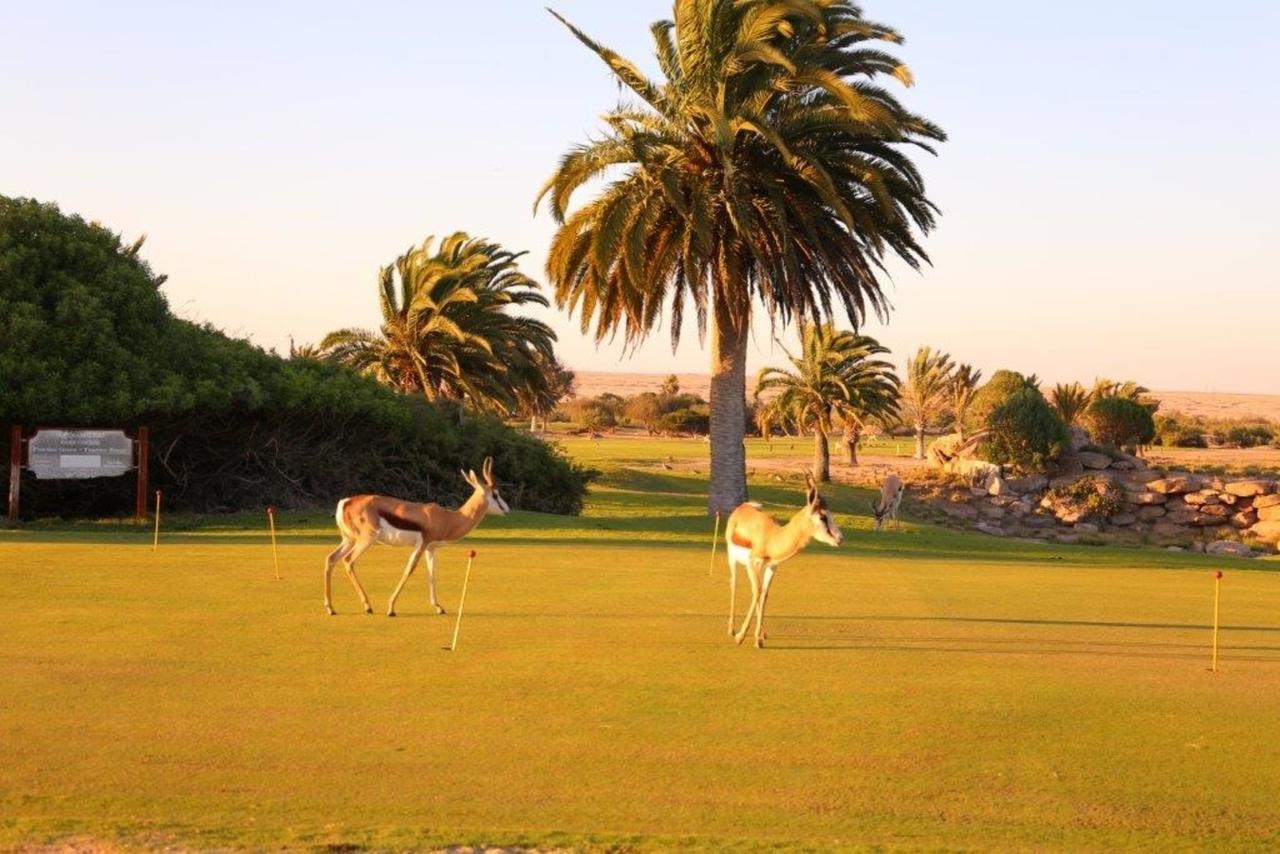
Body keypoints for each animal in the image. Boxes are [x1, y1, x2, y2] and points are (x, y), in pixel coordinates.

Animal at [325, 458, 509, 617]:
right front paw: (391, 608)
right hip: (365, 540)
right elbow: (409, 569)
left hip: (349, 540)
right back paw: (367, 606)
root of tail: (346, 502)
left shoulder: (431, 548)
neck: (448, 518)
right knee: (348, 561)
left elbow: (432, 573)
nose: (507, 510)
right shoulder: (422, 544)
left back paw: (331, 608)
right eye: (495, 494)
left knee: (331, 558)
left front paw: (439, 607)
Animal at [727, 473, 844, 647]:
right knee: (734, 584)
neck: (771, 537)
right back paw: (731, 630)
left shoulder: (772, 566)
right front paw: (740, 637)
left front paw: (758, 639)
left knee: (759, 591)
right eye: (823, 517)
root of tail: (742, 507)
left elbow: (764, 594)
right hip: (732, 559)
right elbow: (756, 592)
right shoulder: (753, 563)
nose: (840, 539)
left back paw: (762, 633)